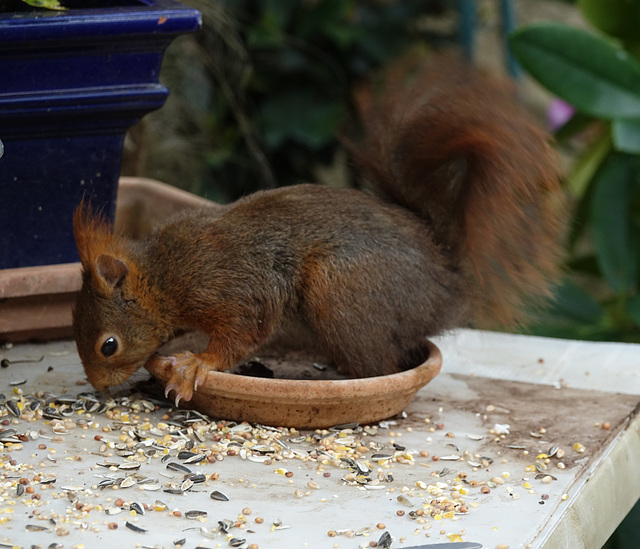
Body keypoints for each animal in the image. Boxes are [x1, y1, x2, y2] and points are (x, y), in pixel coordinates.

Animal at [72, 58, 564, 402]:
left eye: (108, 345)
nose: (99, 386)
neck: (164, 276)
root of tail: (447, 280)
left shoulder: (229, 284)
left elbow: (246, 327)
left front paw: (197, 364)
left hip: (341, 287)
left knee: (380, 365)